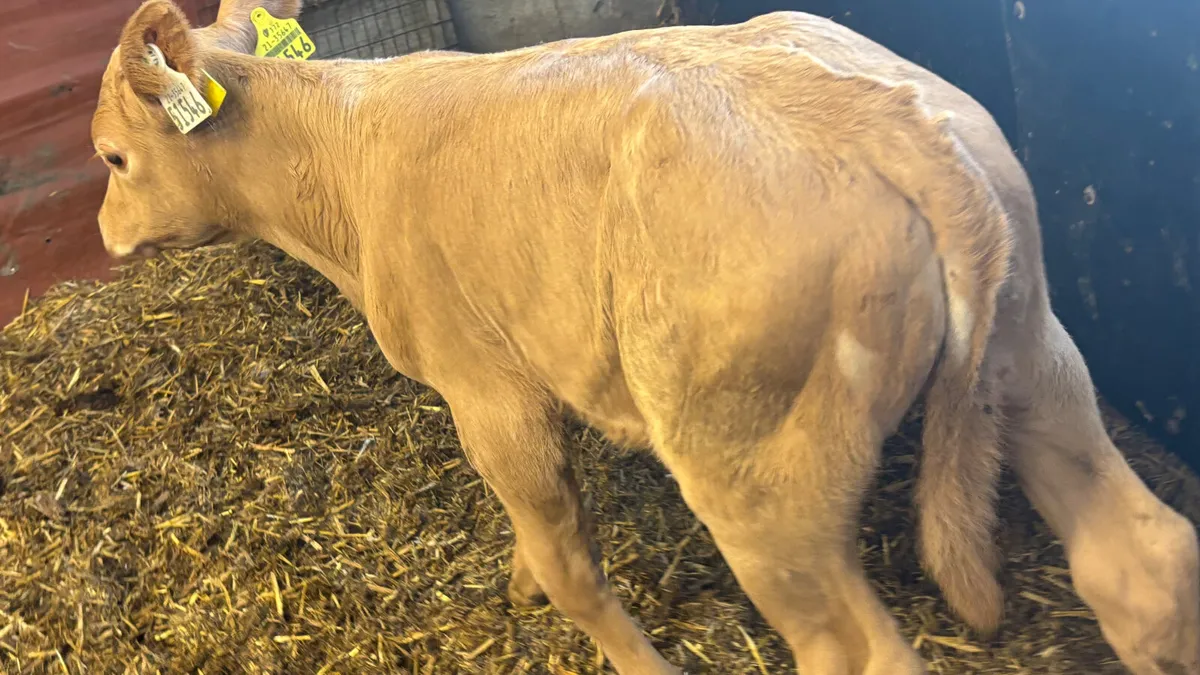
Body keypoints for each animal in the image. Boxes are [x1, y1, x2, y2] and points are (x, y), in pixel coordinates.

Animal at [90, 0, 1199, 673]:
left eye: (110, 156)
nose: (102, 236)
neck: (346, 164)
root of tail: (875, 115)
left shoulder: (489, 393)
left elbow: (573, 565)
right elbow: (547, 541)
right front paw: (517, 578)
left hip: (757, 470)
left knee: (855, 651)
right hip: (1033, 354)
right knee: (1143, 560)